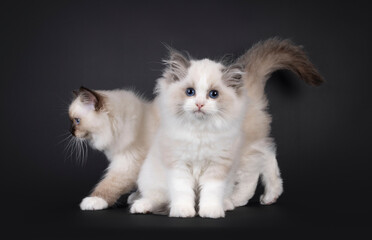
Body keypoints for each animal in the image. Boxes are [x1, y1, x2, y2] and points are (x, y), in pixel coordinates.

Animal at [130, 37, 322, 218]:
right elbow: (182, 190)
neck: (200, 133)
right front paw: (183, 211)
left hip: (245, 150)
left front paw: (210, 211)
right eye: (190, 92)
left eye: (213, 94)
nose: (199, 104)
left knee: (255, 169)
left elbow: (211, 191)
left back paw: (237, 200)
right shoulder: (178, 163)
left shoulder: (218, 164)